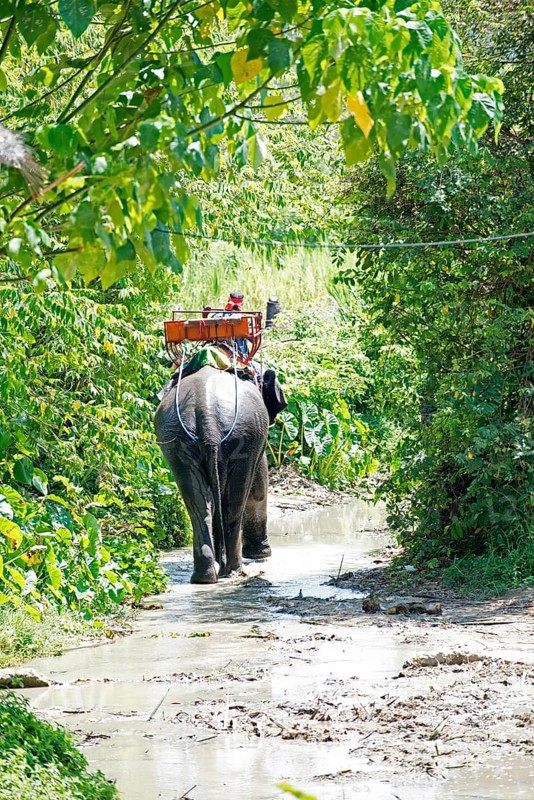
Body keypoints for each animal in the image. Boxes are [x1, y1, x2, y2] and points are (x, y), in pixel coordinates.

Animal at [155, 365, 285, 584]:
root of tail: (206, 415)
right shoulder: (257, 443)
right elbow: (259, 487)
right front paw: (261, 555)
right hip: (244, 436)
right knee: (234, 502)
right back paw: (233, 570)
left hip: (176, 440)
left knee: (198, 503)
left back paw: (205, 577)